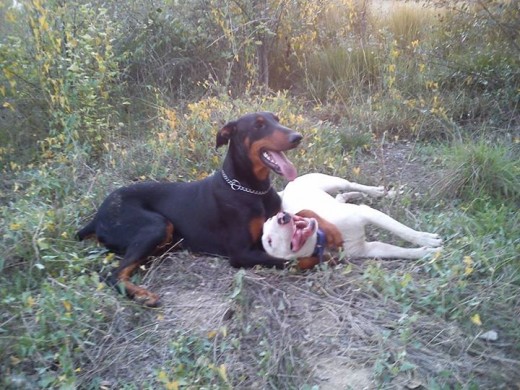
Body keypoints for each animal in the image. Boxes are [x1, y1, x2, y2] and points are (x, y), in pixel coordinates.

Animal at [77, 111, 342, 306]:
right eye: (258, 125)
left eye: (276, 120)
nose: (297, 136)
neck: (251, 189)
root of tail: (97, 216)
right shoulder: (241, 253)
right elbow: (294, 261)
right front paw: (327, 256)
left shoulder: (278, 214)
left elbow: (306, 213)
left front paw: (334, 234)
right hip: (156, 225)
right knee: (112, 274)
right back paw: (142, 295)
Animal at [264, 174, 442, 264]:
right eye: (270, 241)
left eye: (270, 220)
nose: (282, 217)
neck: (327, 235)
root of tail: (286, 188)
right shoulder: (369, 250)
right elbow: (402, 251)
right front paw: (427, 253)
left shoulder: (366, 213)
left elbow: (404, 231)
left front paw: (426, 239)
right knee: (342, 195)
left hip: (333, 181)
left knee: (353, 184)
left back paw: (383, 192)